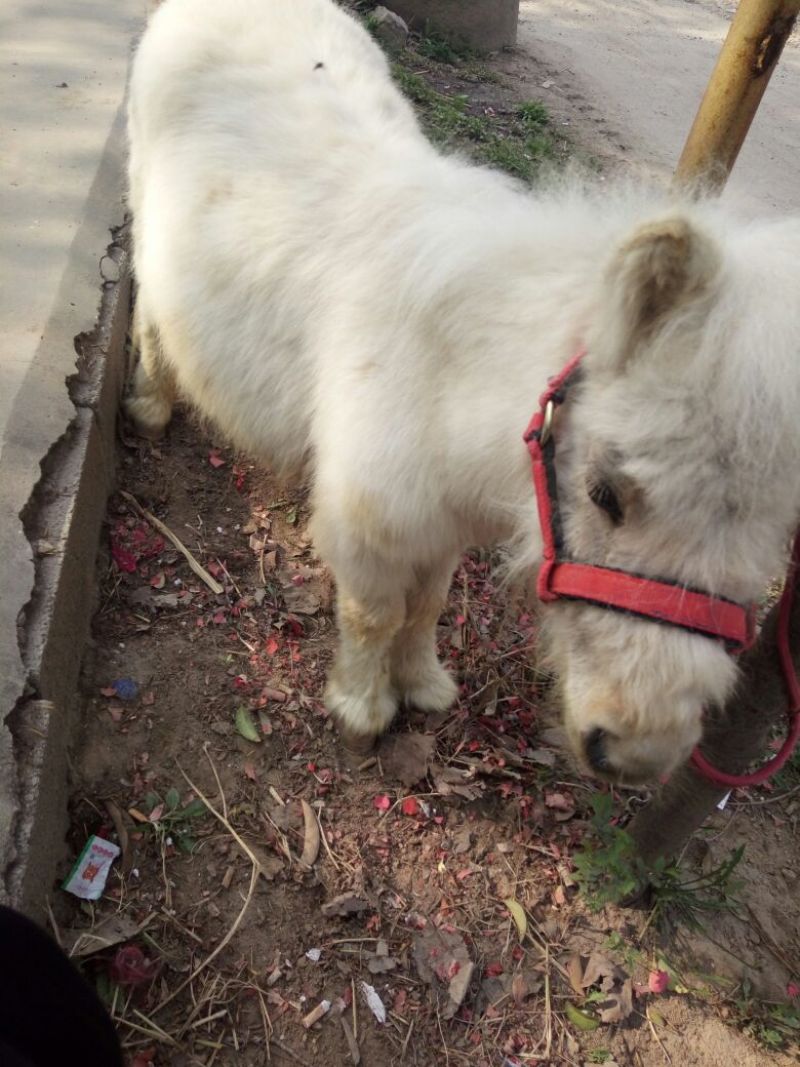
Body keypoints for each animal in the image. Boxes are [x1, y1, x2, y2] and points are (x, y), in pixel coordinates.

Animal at [125, 0, 800, 784]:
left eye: (777, 530)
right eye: (604, 493)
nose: (636, 752)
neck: (460, 371)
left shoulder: (442, 524)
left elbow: (428, 606)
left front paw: (424, 687)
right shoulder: (371, 525)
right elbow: (375, 615)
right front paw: (362, 714)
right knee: (148, 311)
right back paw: (150, 407)